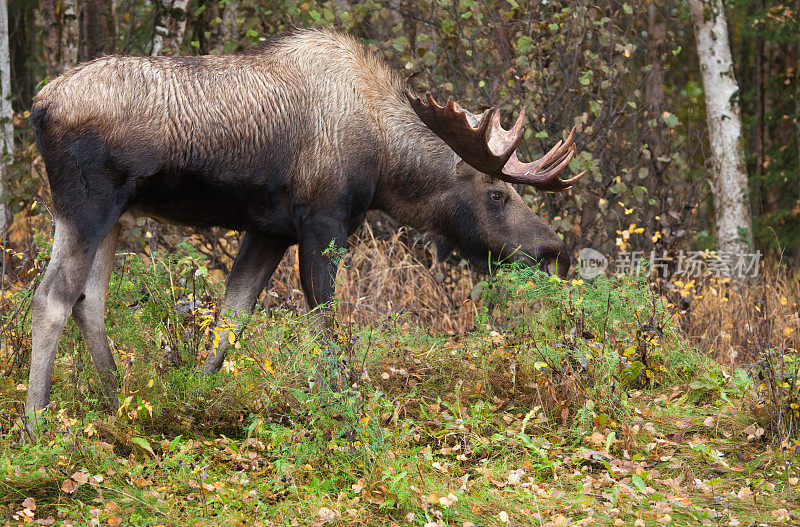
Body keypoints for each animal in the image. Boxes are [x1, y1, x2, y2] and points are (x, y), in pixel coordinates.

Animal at [25, 28, 584, 418]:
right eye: (496, 194)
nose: (554, 249)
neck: (385, 163)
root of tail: (39, 105)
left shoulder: (269, 230)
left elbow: (231, 319)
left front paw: (200, 395)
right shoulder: (323, 222)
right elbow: (326, 326)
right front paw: (344, 406)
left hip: (113, 218)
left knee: (89, 302)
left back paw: (115, 398)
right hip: (85, 207)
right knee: (51, 299)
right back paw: (37, 423)